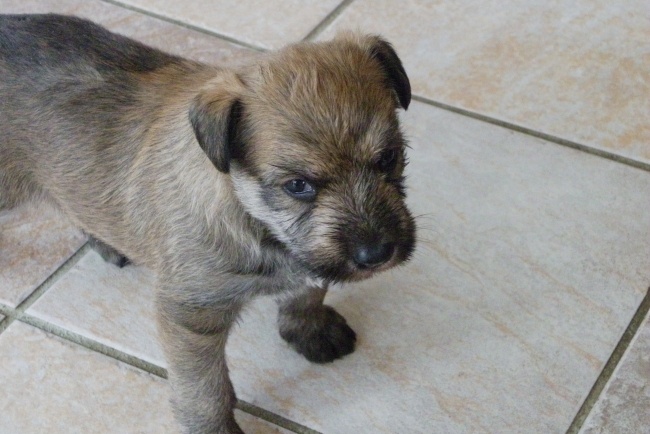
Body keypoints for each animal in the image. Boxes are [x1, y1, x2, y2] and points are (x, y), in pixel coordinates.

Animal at [0, 14, 416, 433]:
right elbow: (204, 388)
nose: (377, 253)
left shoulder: (305, 259)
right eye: (298, 185)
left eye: (388, 158)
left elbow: (307, 291)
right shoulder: (191, 317)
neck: (251, 215)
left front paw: (310, 329)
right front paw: (213, 426)